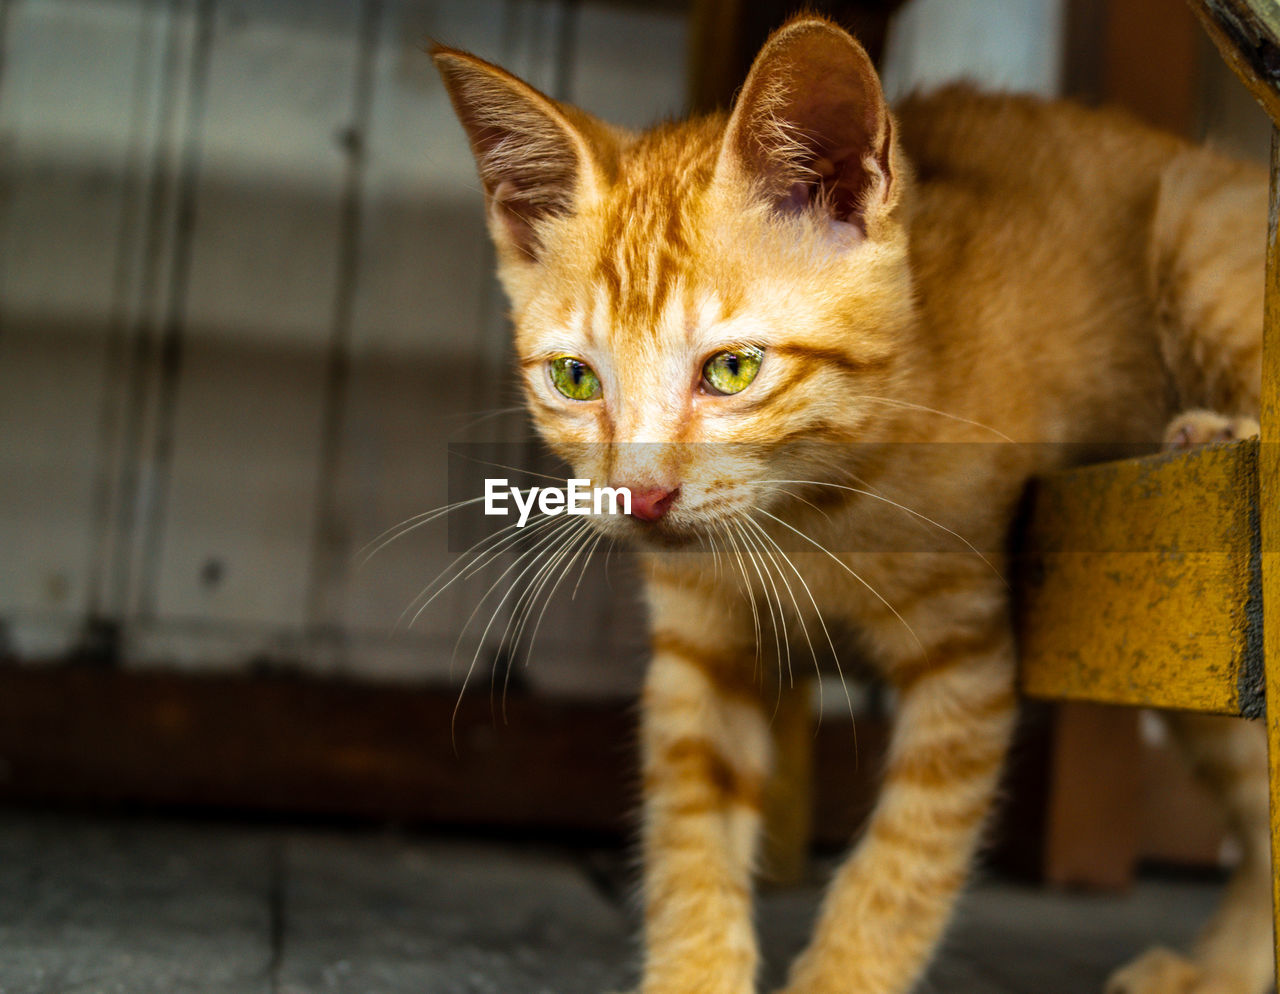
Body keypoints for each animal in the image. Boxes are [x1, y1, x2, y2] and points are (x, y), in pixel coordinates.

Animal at [432, 15, 1269, 992]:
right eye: (574, 378)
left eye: (732, 369)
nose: (641, 496)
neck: (805, 516)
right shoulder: (700, 652)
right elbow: (690, 839)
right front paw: (694, 971)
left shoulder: (965, 657)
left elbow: (904, 862)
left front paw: (844, 973)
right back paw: (1223, 969)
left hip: (1194, 236)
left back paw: (1217, 429)